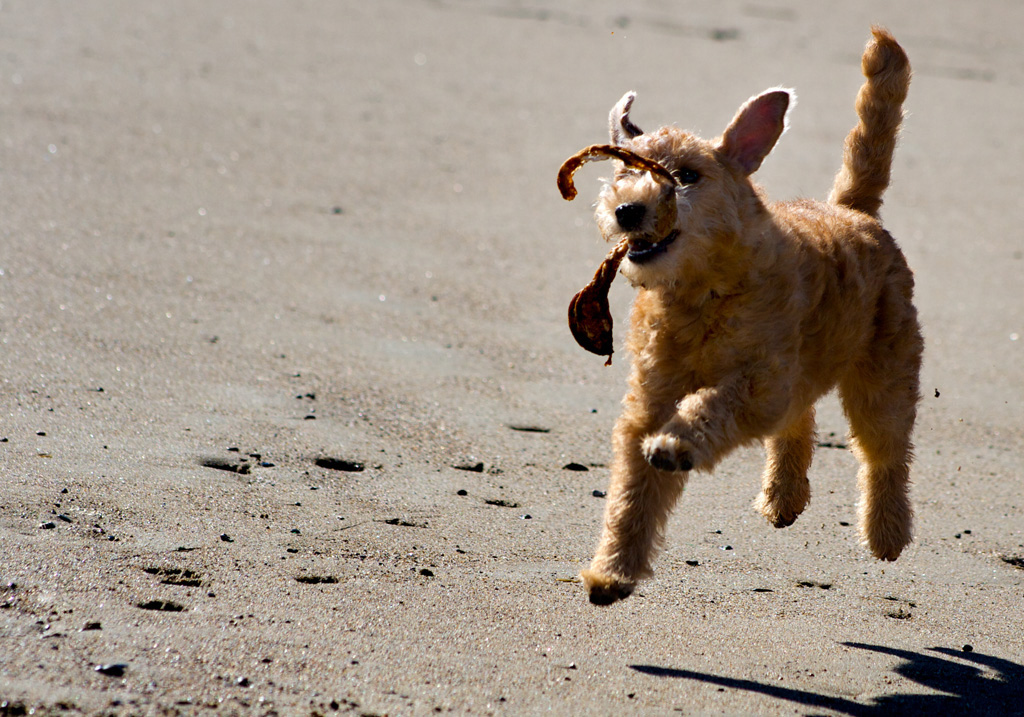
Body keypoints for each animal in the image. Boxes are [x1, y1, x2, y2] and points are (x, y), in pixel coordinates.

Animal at [581, 28, 925, 606]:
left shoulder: (759, 382)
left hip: (884, 373)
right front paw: (612, 573)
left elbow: (710, 406)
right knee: (800, 423)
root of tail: (854, 210)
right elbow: (631, 496)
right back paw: (783, 499)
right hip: (810, 373)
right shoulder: (648, 402)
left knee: (885, 453)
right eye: (624, 169)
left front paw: (675, 445)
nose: (627, 210)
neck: (701, 294)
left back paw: (887, 533)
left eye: (686, 176)